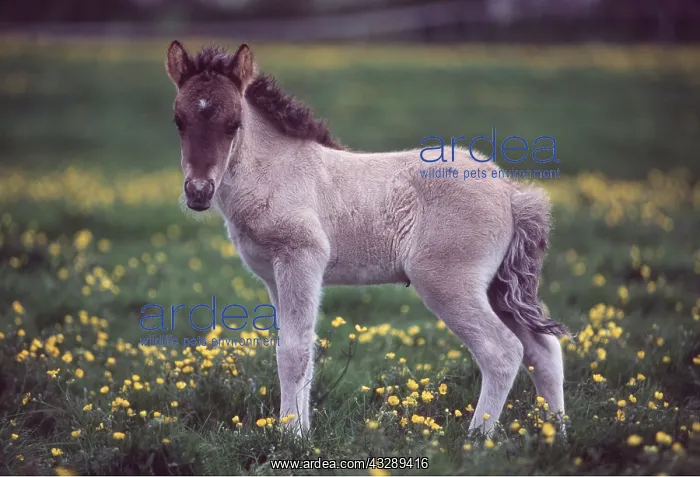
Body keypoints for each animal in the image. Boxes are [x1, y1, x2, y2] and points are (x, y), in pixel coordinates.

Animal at [164, 40, 567, 436]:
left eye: (233, 124)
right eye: (178, 122)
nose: (198, 192)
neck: (274, 171)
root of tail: (511, 192)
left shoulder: (301, 259)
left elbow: (293, 352)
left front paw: (289, 437)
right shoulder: (273, 276)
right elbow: (302, 347)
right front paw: (302, 433)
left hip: (448, 283)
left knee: (502, 352)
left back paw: (477, 440)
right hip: (497, 286)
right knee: (543, 350)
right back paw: (556, 434)